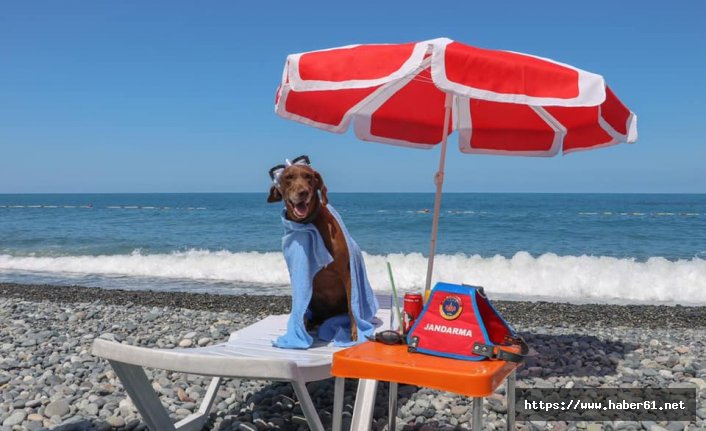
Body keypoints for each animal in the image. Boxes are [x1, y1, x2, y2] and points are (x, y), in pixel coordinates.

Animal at [270, 164, 358, 342]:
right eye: (288, 177)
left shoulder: (346, 273)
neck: (309, 223)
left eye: (308, 176)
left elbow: (352, 308)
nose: (303, 192)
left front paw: (354, 332)